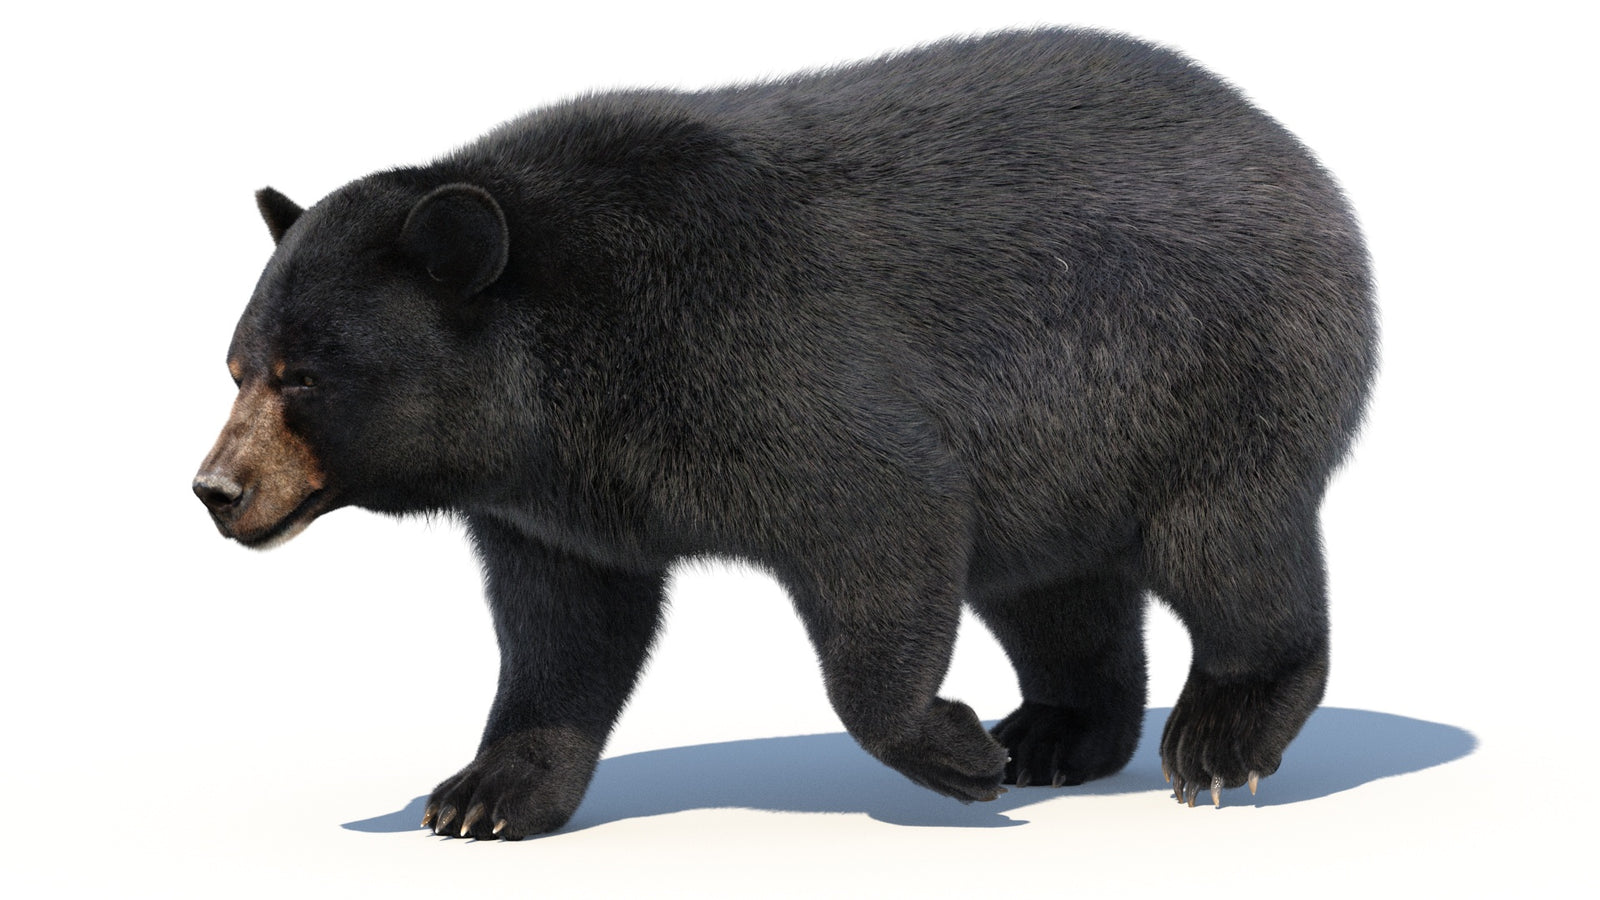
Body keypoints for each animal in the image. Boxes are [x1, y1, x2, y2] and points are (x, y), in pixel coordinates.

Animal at [194, 27, 1377, 840]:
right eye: (238, 366)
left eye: (306, 377)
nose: (216, 490)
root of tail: (1290, 150)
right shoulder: (557, 501)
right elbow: (563, 630)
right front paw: (485, 792)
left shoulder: (760, 363)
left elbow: (885, 515)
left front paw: (947, 750)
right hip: (1064, 459)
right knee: (1052, 589)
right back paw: (1052, 730)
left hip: (1211, 371)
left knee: (1227, 548)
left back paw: (1222, 736)